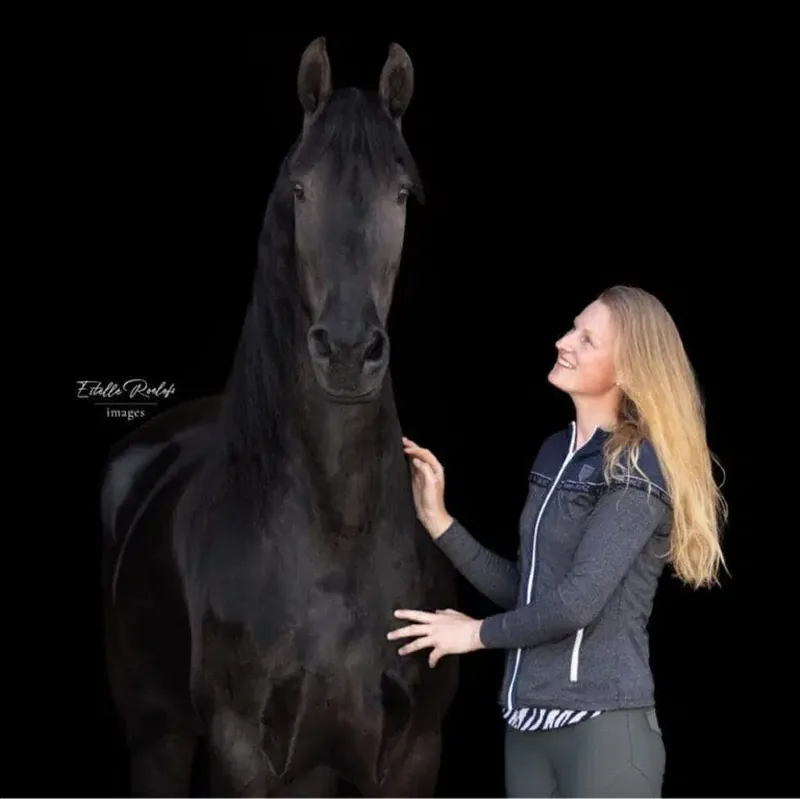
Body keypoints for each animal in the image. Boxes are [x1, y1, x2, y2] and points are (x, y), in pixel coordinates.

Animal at [100, 37, 459, 798]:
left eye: (401, 193)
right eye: (301, 190)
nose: (348, 352)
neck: (337, 533)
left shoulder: (414, 752)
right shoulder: (239, 750)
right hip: (158, 738)